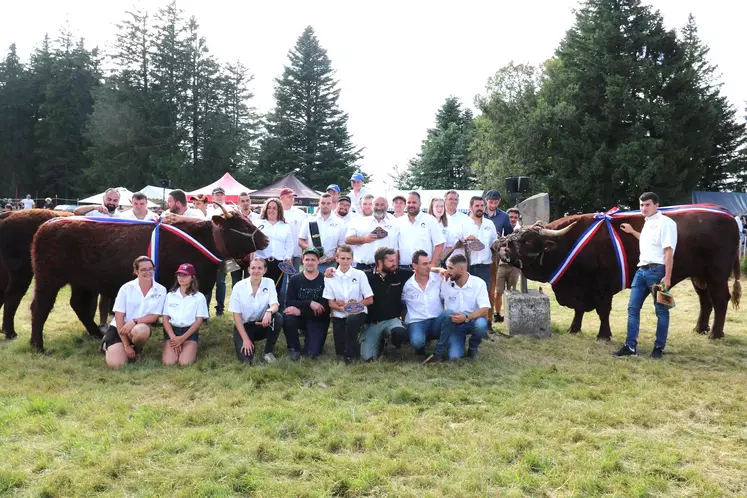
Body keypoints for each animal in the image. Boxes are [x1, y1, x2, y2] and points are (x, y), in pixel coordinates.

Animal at [29, 206, 268, 350]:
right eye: (243, 225)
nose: (265, 239)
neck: (204, 239)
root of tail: (48, 224)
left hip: (82, 283)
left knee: (78, 305)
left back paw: (96, 333)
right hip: (48, 281)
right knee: (40, 308)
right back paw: (37, 345)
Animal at [500, 205, 740, 338]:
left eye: (527, 240)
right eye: (515, 235)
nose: (502, 247)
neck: (570, 244)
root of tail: (728, 216)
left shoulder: (602, 286)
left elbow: (603, 311)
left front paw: (603, 335)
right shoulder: (581, 287)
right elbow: (579, 310)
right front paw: (574, 328)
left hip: (717, 273)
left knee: (720, 299)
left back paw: (715, 334)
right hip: (699, 276)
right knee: (705, 301)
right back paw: (700, 329)